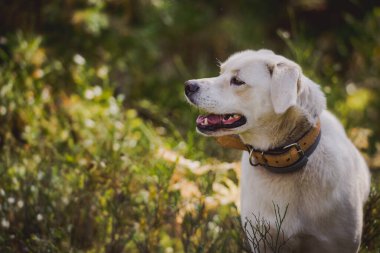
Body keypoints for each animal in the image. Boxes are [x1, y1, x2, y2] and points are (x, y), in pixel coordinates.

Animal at [185, 50, 372, 253]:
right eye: (221, 73)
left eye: (238, 81)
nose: (188, 86)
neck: (285, 160)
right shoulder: (264, 240)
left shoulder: (338, 241)